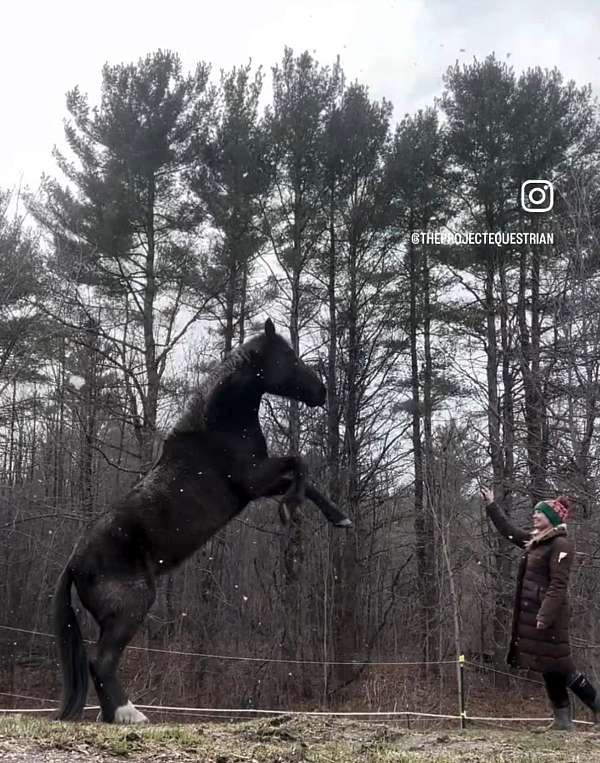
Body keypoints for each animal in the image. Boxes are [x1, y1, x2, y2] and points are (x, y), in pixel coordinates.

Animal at [52, 318, 351, 723]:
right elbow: (299, 463)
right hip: (131, 608)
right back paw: (131, 715)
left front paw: (339, 518)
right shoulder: (254, 480)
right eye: (288, 357)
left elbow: (308, 482)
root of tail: (74, 562)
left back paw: (114, 716)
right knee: (102, 662)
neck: (219, 428)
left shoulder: (259, 483)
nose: (320, 391)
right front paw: (289, 510)